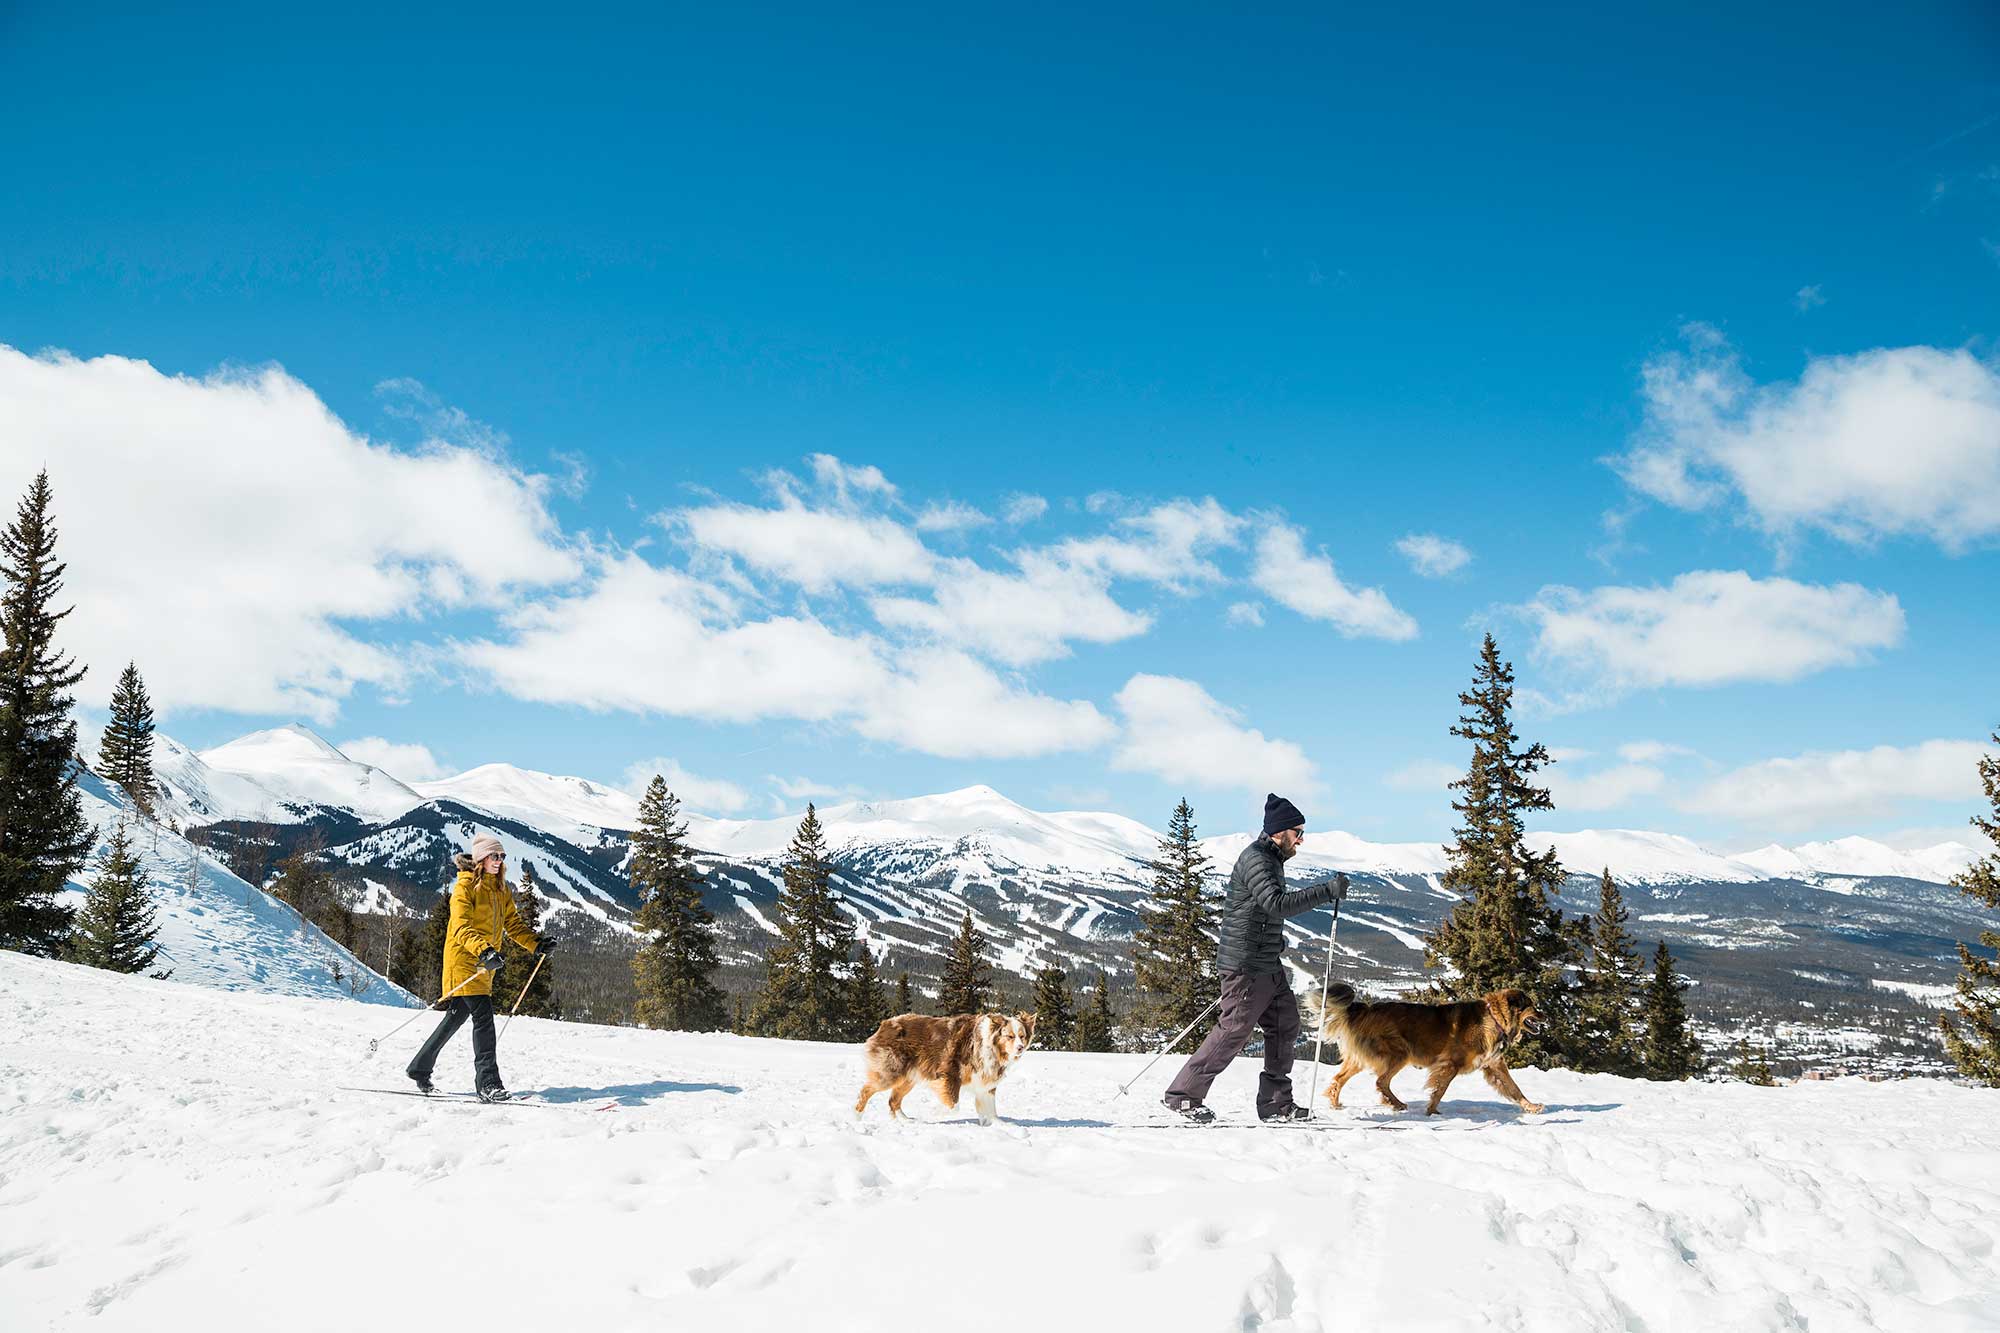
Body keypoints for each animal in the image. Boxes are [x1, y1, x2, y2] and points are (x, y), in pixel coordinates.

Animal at [856, 1008, 1040, 1120]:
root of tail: (885, 1023)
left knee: (893, 1101)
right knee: (866, 1090)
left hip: (909, 1078)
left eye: (1022, 1036)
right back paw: (857, 1117)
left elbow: (991, 1111)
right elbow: (954, 1105)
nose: (1020, 1048)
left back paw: (905, 1121)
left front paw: (999, 1125)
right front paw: (938, 1113)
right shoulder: (950, 1072)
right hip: (891, 1072)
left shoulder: (986, 1081)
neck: (990, 1045)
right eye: (1010, 1036)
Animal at [1312, 980, 1544, 1112]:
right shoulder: (1450, 1064)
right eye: (1532, 1006)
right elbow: (1440, 1090)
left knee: (1339, 1078)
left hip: (1361, 1058)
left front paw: (1531, 1107)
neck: (1494, 1018)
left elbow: (1515, 1089)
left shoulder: (1494, 1065)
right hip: (1400, 1053)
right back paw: (1395, 1103)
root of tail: (1365, 1009)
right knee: (1381, 1081)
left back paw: (1336, 1104)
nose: (1544, 1015)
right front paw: (1432, 1112)